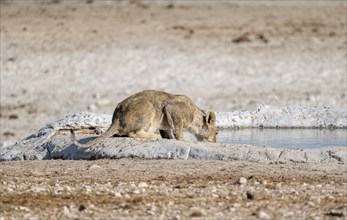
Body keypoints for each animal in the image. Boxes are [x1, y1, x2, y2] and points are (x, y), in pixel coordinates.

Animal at [70, 89, 218, 148]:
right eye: (217, 133)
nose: (215, 141)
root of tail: (116, 117)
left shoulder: (165, 123)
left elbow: (168, 133)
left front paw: (168, 138)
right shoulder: (172, 108)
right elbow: (178, 131)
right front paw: (181, 140)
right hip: (148, 108)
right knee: (132, 133)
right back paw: (153, 136)